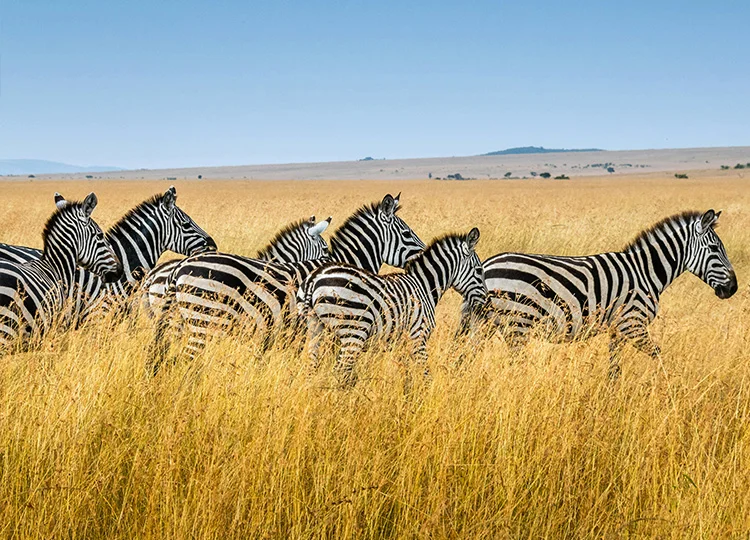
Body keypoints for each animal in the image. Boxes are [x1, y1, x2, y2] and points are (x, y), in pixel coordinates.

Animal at [300, 228, 485, 386]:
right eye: (478, 270)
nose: (485, 302)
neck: (424, 286)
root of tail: (315, 278)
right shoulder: (418, 336)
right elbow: (425, 374)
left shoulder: (403, 342)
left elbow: (407, 375)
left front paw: (407, 397)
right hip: (353, 331)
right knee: (340, 371)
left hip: (315, 328)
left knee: (311, 367)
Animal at [477, 210, 737, 377]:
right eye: (715, 249)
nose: (733, 288)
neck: (645, 271)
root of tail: (486, 265)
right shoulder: (632, 323)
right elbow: (659, 356)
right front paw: (668, 390)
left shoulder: (617, 329)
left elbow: (614, 368)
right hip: (517, 325)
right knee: (514, 366)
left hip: (489, 325)